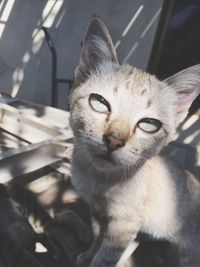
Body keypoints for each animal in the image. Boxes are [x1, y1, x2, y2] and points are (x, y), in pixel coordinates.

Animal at [69, 16, 200, 267]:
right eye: (99, 103)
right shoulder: (99, 214)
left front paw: (96, 261)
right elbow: (97, 237)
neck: (99, 180)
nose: (113, 141)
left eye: (149, 125)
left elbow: (105, 257)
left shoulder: (123, 226)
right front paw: (89, 254)